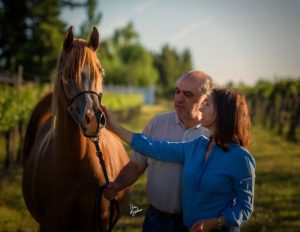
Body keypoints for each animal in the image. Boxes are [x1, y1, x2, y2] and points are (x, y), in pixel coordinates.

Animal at [22, 26, 131, 231]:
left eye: (101, 72)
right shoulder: (48, 223)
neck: (76, 161)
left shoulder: (100, 222)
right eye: (66, 74)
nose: (94, 120)